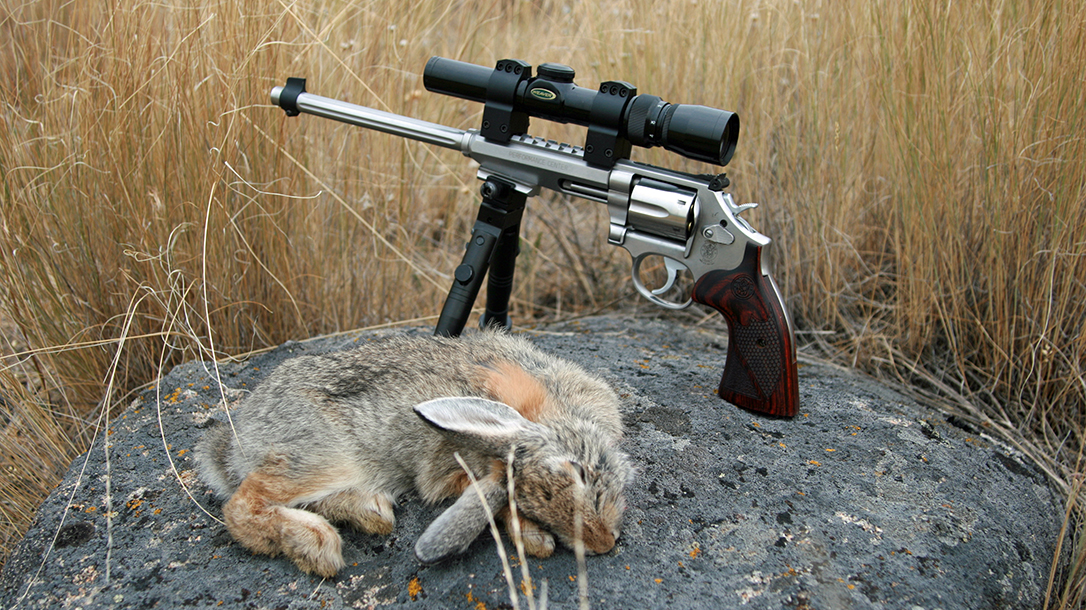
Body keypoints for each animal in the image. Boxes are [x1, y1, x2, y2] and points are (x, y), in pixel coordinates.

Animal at [195, 330, 633, 577]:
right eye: (575, 471)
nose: (604, 544)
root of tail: (236, 444)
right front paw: (532, 537)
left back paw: (369, 511)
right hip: (321, 456)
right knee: (240, 505)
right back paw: (314, 544)